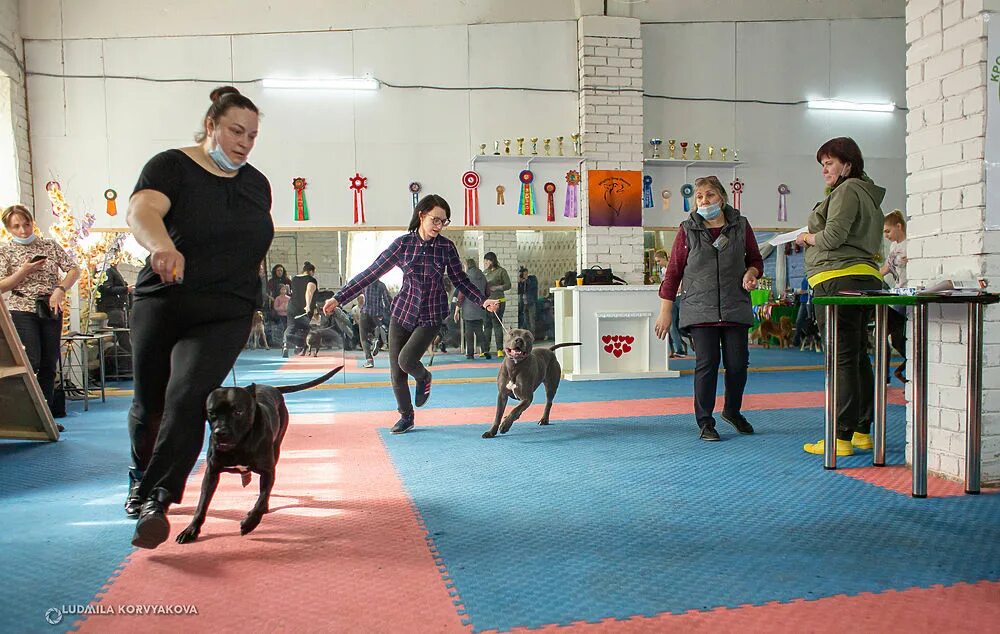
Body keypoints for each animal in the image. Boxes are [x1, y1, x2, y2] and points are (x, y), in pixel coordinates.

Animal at [180, 362, 348, 540]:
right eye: (211, 412)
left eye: (238, 411)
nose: (220, 432)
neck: (240, 444)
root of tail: (271, 387)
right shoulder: (211, 473)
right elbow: (202, 503)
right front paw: (191, 529)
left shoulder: (268, 471)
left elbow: (262, 499)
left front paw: (250, 522)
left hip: (277, 447)